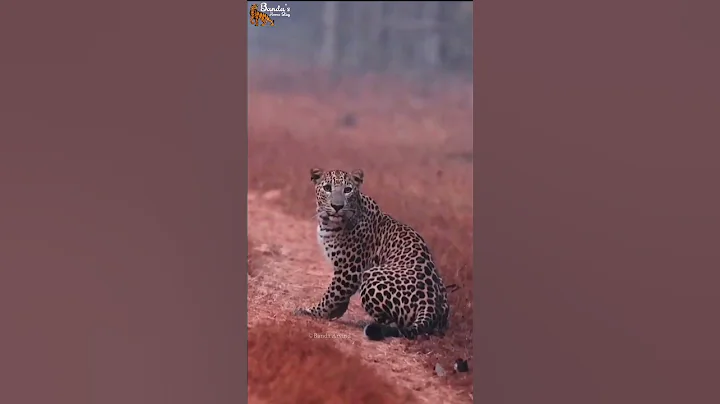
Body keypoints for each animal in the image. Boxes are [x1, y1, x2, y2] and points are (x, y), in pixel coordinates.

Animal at [293, 168, 450, 341]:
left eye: (347, 190)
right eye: (327, 188)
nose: (337, 206)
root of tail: (430, 304)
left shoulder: (350, 270)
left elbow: (331, 294)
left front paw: (313, 312)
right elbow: (339, 295)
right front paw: (336, 311)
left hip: (372, 275)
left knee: (393, 322)